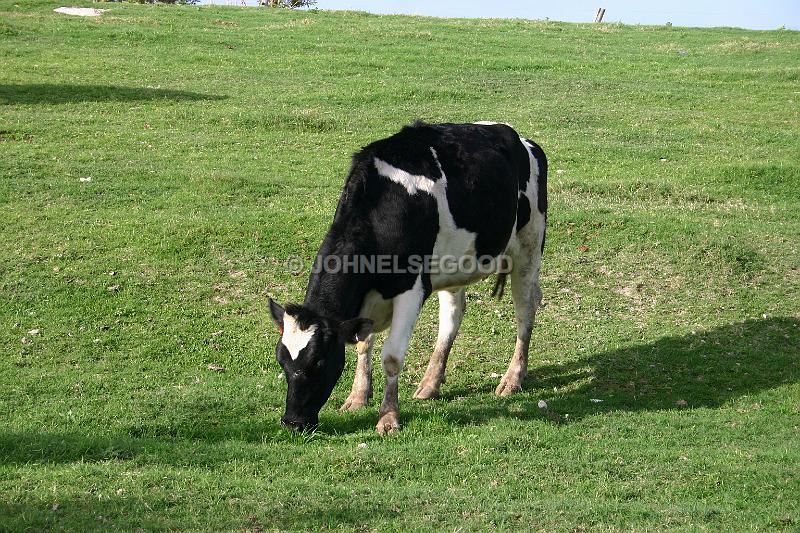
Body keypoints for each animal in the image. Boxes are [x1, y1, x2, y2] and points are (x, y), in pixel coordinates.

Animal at [272, 119, 548, 432]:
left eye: (318, 362)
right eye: (282, 362)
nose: (292, 422)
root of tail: (522, 139)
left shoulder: (412, 287)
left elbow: (391, 357)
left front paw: (388, 417)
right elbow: (362, 345)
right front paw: (357, 397)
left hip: (529, 246)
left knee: (525, 308)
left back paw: (512, 378)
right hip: (453, 264)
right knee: (452, 316)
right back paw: (430, 383)